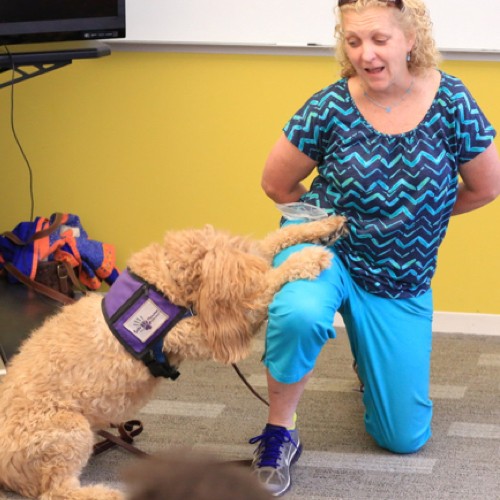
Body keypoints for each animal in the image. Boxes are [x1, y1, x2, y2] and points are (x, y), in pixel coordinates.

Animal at [0, 216, 348, 500]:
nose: (257, 264)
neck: (160, 285)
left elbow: (276, 238)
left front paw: (325, 225)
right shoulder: (200, 334)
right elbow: (266, 288)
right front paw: (306, 258)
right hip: (69, 431)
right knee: (57, 491)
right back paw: (110, 493)